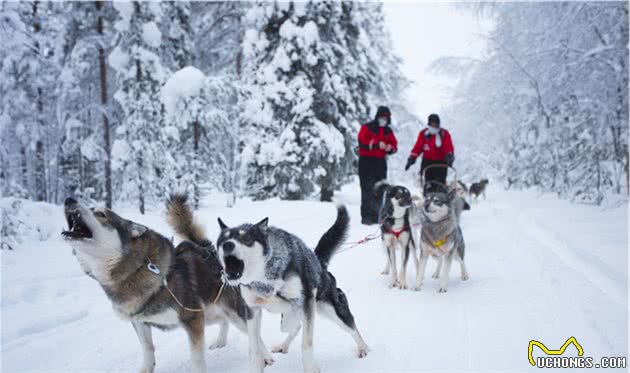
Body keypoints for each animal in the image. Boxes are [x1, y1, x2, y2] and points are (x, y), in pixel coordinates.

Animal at [61, 195, 272, 372]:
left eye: (100, 213)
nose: (69, 199)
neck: (135, 270)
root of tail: (210, 250)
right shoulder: (140, 322)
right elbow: (147, 349)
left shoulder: (193, 320)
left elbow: (197, 359)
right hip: (212, 313)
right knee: (226, 323)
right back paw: (221, 342)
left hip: (232, 312)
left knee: (253, 334)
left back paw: (266, 356)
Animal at [216, 205, 368, 372]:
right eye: (222, 240)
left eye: (246, 239)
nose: (227, 244)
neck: (264, 279)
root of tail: (318, 261)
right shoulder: (252, 310)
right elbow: (255, 349)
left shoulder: (307, 301)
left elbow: (306, 343)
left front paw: (311, 368)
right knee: (293, 325)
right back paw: (283, 345)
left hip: (333, 309)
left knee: (351, 327)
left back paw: (364, 349)